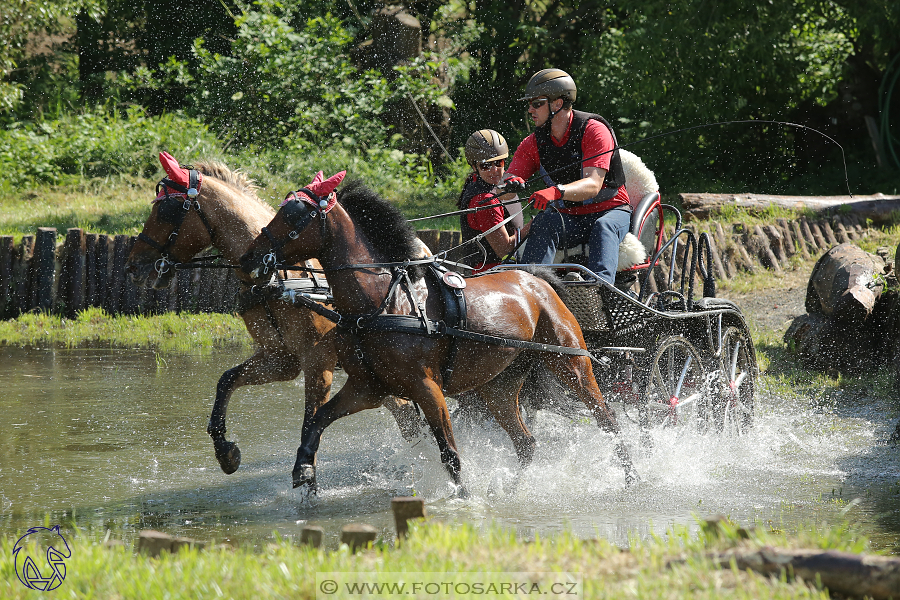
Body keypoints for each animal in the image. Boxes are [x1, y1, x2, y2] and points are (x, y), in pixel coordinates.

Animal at [125, 154, 424, 478]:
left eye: (165, 211)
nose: (133, 267)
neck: (277, 276)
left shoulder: (318, 360)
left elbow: (311, 419)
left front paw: (306, 472)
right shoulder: (281, 359)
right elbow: (226, 380)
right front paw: (225, 452)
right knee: (406, 414)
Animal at [236, 172, 636, 492]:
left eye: (294, 215)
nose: (249, 257)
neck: (382, 302)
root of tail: (537, 279)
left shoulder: (427, 388)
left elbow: (450, 454)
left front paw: (464, 499)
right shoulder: (366, 388)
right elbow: (317, 420)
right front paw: (303, 470)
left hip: (572, 366)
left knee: (608, 421)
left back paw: (632, 478)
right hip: (498, 386)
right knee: (525, 442)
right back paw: (513, 488)